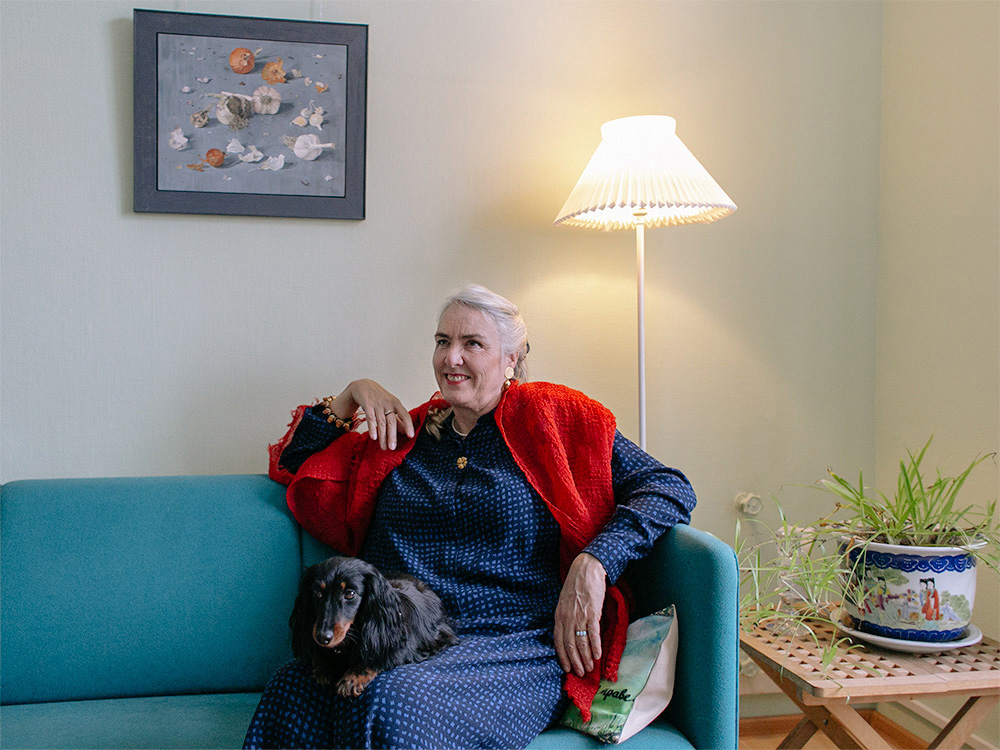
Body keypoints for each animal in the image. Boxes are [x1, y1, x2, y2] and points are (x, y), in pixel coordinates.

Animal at [290, 556, 458, 697]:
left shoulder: (400, 647)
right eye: (317, 593)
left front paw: (353, 676)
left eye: (350, 593)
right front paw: (323, 665)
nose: (322, 637)